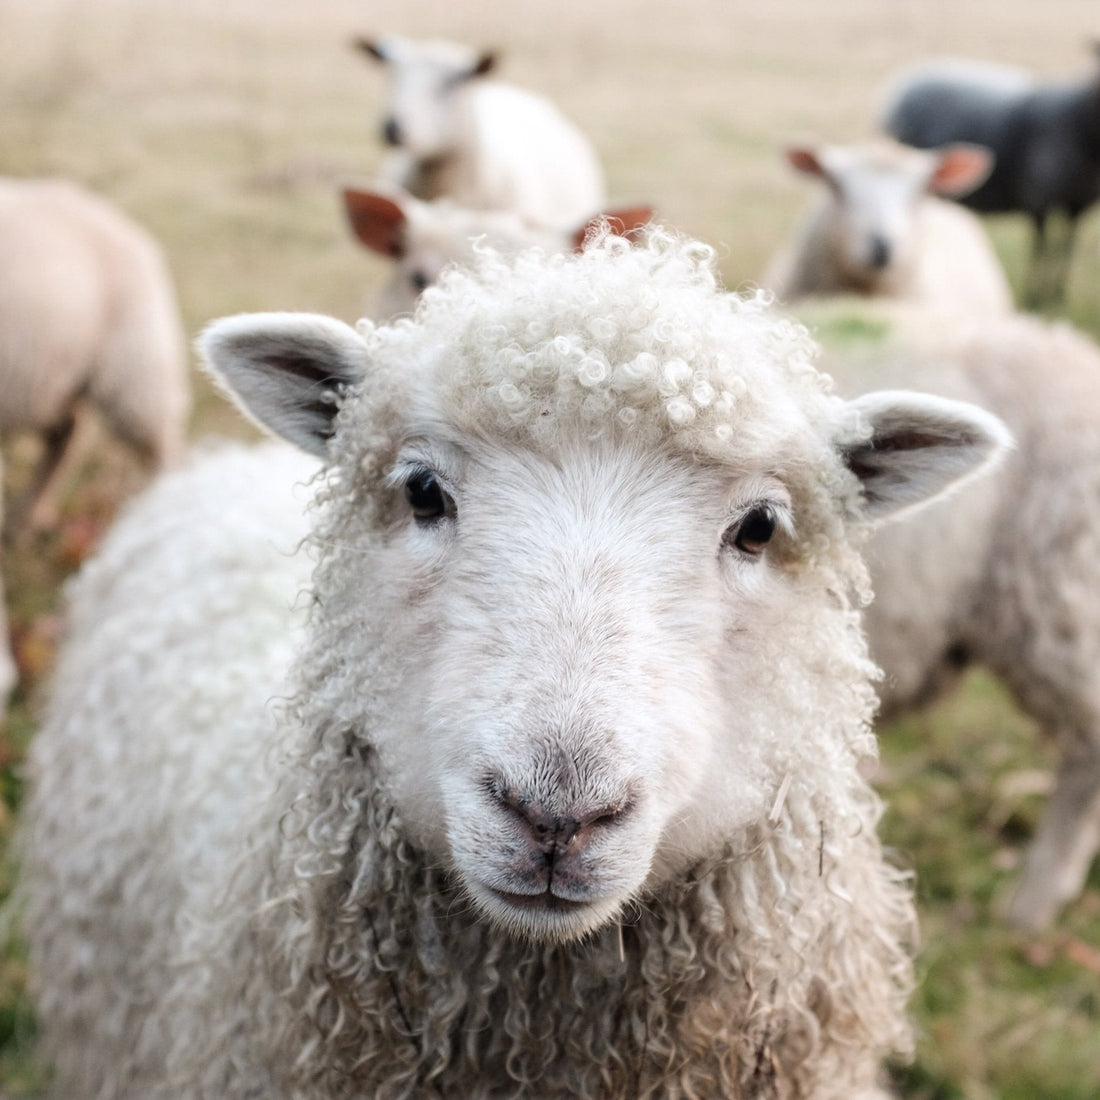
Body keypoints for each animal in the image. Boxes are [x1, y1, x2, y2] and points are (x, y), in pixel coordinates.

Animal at [881, 50, 1100, 306]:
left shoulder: (1078, 205)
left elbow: (1066, 248)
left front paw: (1056, 294)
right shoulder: (1039, 199)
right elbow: (1042, 249)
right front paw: (1035, 296)